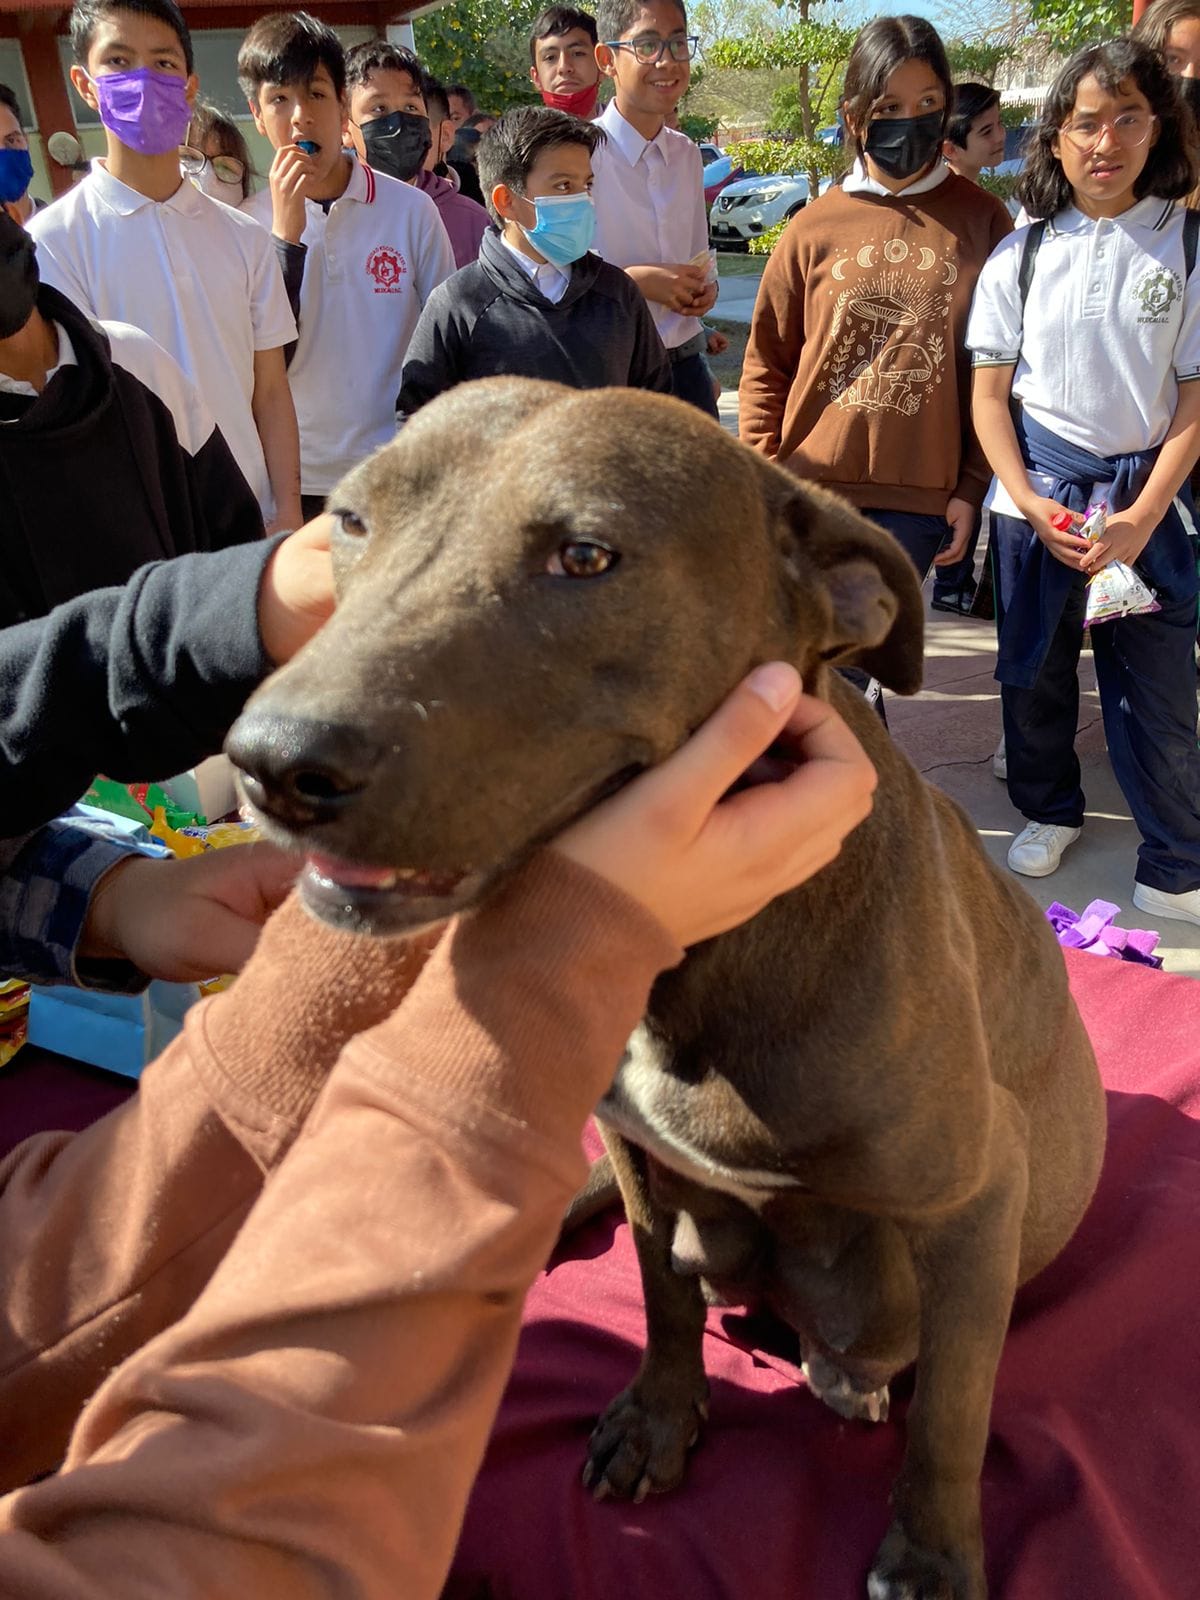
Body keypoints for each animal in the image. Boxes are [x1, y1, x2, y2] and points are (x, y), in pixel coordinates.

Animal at [227, 380, 1107, 1593]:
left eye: (587, 556)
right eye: (352, 521)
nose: (271, 762)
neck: (700, 959)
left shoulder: (975, 1199)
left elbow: (955, 1415)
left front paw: (931, 1555)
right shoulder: (640, 1153)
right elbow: (661, 1292)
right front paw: (660, 1416)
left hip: (885, 1284)